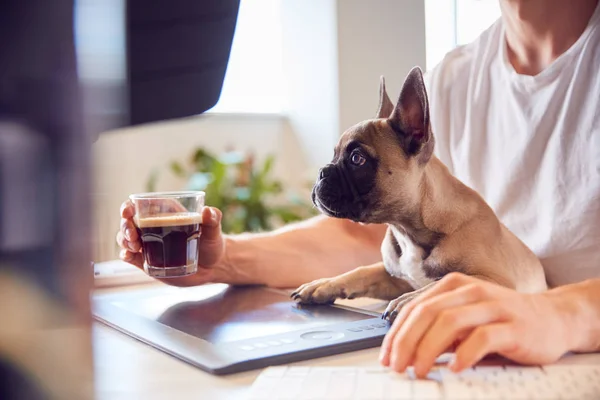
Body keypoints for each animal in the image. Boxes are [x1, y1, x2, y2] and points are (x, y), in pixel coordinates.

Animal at [292, 66, 548, 322]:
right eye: (334, 154)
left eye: (357, 159)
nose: (322, 172)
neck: (408, 229)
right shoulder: (396, 278)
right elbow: (363, 271)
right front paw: (325, 284)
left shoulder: (496, 281)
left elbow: (445, 283)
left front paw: (410, 300)